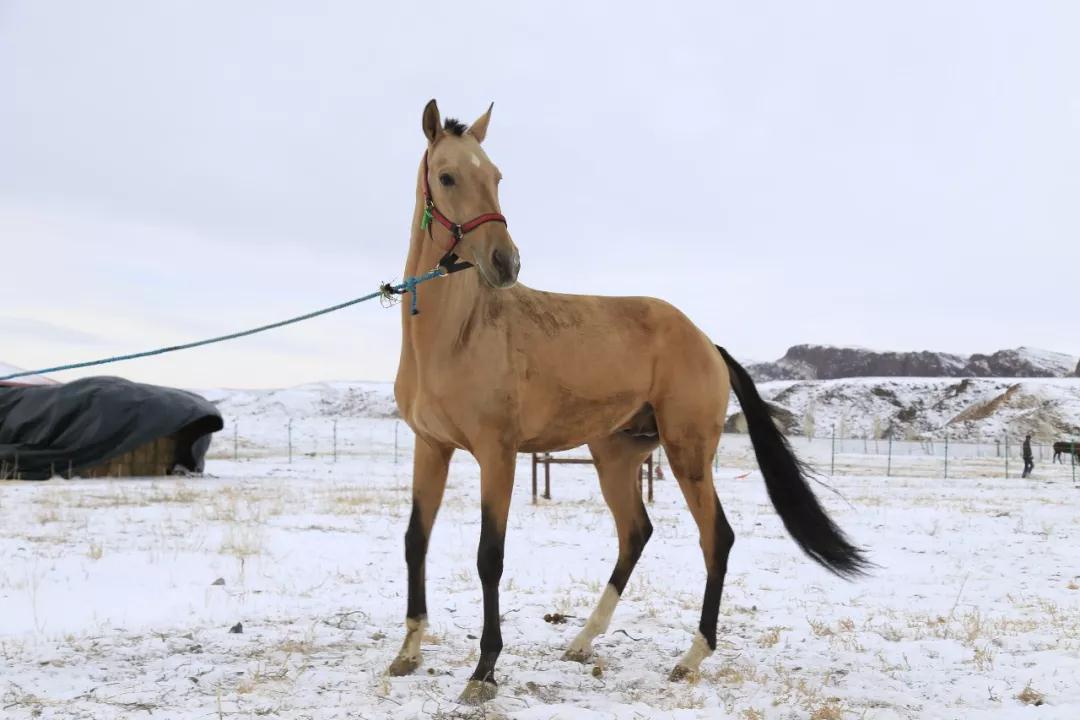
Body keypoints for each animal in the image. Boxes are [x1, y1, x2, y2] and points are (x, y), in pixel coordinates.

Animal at [388, 101, 868, 703]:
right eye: (448, 177)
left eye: (496, 177)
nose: (506, 263)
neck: (455, 335)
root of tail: (706, 341)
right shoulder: (430, 447)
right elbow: (415, 541)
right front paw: (407, 652)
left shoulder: (497, 455)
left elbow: (489, 557)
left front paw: (484, 671)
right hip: (616, 456)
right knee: (635, 532)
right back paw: (582, 641)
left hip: (687, 456)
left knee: (716, 537)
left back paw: (691, 656)